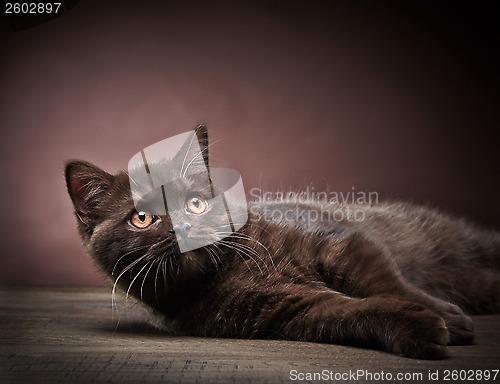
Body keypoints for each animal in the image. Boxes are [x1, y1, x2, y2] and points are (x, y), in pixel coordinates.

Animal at [64, 125, 498, 360]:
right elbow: (356, 311)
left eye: (196, 203)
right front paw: (420, 327)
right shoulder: (295, 310)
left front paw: (449, 318)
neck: (232, 271)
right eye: (142, 218)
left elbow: (386, 282)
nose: (184, 227)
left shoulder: (340, 242)